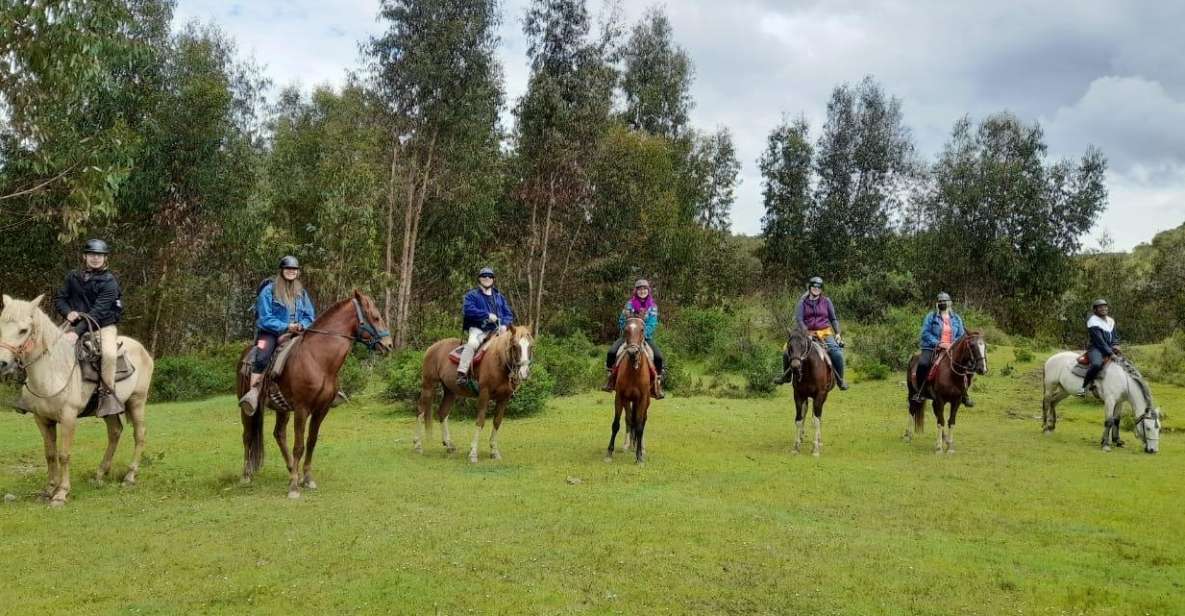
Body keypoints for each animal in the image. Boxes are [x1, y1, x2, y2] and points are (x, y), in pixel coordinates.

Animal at [0, 294, 154, 504]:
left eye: (23, 330)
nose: (2, 363)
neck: (53, 371)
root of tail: (142, 350)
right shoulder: (42, 419)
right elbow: (50, 454)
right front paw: (49, 489)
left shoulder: (68, 417)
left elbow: (64, 455)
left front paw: (61, 493)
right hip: (109, 411)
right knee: (115, 432)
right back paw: (99, 474)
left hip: (137, 402)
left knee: (140, 434)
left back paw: (129, 477)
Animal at [236, 291, 393, 497]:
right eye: (375, 317)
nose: (389, 345)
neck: (318, 360)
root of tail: (245, 354)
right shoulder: (302, 409)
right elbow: (299, 445)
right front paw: (294, 487)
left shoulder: (321, 409)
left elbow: (311, 442)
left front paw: (306, 479)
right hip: (247, 409)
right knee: (247, 436)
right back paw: (246, 475)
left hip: (282, 409)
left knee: (279, 434)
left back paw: (290, 469)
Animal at [412, 326, 533, 462]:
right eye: (515, 346)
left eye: (531, 346)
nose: (525, 373)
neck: (498, 361)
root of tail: (432, 347)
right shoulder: (484, 394)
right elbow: (480, 421)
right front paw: (473, 453)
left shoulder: (504, 398)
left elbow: (497, 422)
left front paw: (494, 451)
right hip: (428, 386)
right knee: (421, 411)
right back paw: (417, 445)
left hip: (450, 391)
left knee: (442, 413)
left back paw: (448, 445)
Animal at [606, 317, 654, 462]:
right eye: (626, 329)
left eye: (642, 329)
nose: (633, 352)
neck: (634, 372)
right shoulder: (620, 396)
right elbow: (616, 424)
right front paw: (609, 453)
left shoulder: (643, 398)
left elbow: (639, 426)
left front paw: (639, 457)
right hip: (628, 400)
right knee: (628, 419)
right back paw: (627, 445)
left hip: (646, 401)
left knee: (642, 421)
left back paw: (641, 448)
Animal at [786, 324, 834, 454]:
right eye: (789, 346)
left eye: (803, 345)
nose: (795, 366)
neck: (809, 369)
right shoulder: (798, 394)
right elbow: (799, 418)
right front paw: (796, 447)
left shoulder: (820, 395)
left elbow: (816, 419)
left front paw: (815, 448)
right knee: (805, 411)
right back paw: (802, 437)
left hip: (823, 396)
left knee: (817, 416)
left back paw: (819, 440)